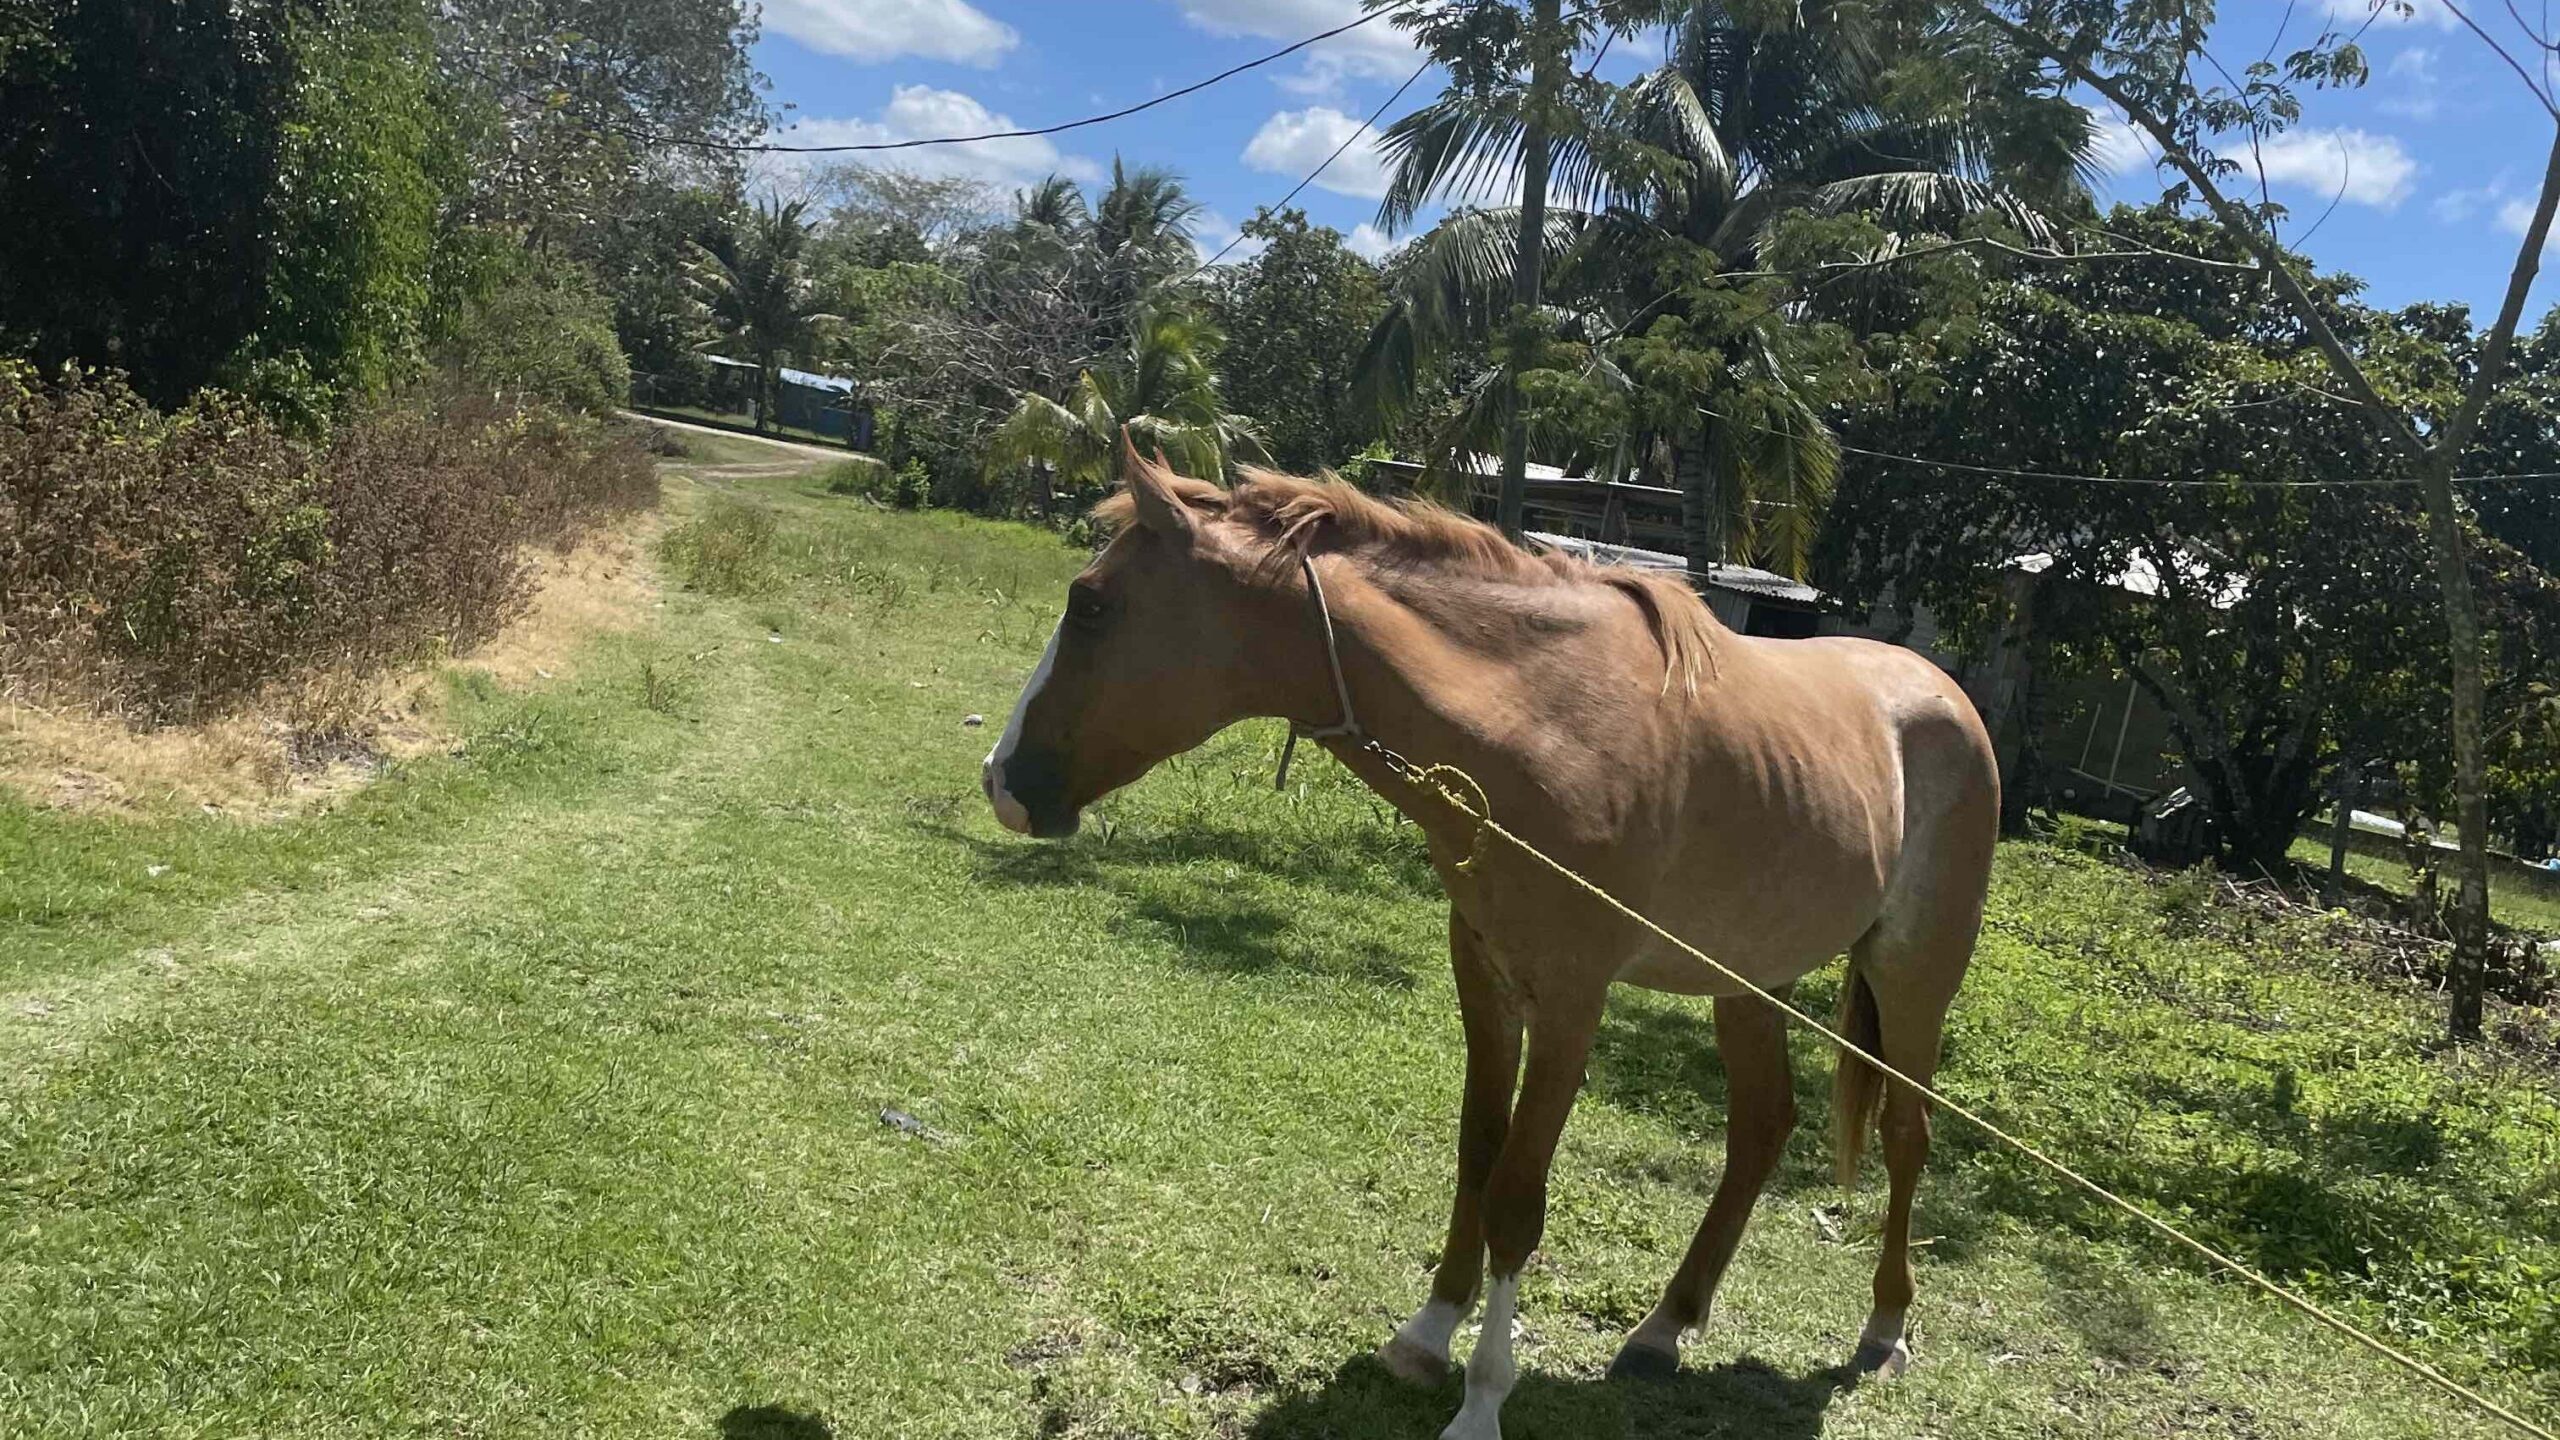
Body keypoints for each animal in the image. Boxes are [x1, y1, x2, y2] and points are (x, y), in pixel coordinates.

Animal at [982, 443, 1998, 1440]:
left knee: (1906, 1134)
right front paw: (1428, 1333)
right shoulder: (1483, 969)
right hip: (1750, 978)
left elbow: (1516, 1196)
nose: (1003, 781)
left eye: (1091, 604)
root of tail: (1945, 695)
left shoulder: (1573, 999)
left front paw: (1480, 1401)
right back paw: (1664, 1329)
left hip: (1914, 978)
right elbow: (1478, 1150)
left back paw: (1885, 1327)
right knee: (1760, 1128)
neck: (1537, 727)